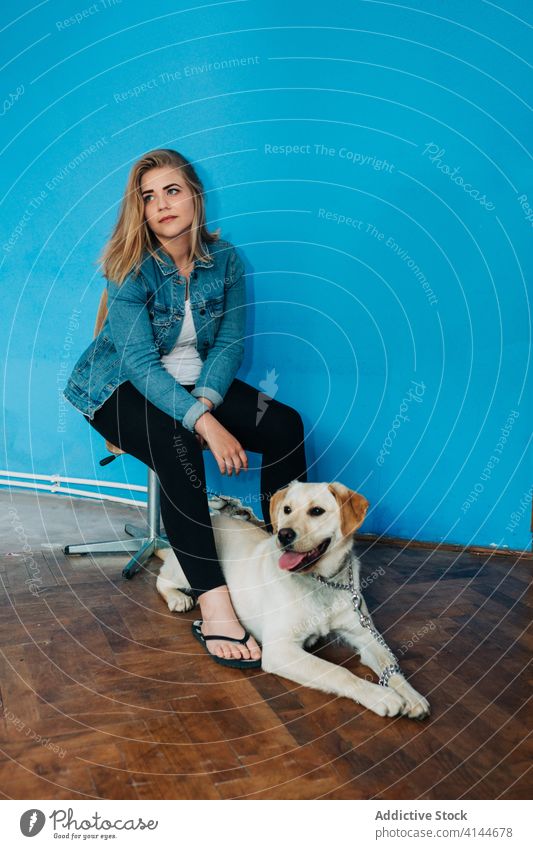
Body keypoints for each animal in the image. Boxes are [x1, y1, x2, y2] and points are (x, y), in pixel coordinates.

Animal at [156, 480, 430, 720]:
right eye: (287, 509)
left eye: (317, 511)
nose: (283, 534)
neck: (321, 582)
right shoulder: (280, 649)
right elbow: (337, 671)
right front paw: (380, 695)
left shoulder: (364, 634)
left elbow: (389, 662)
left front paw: (411, 694)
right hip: (188, 571)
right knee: (162, 578)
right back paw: (178, 598)